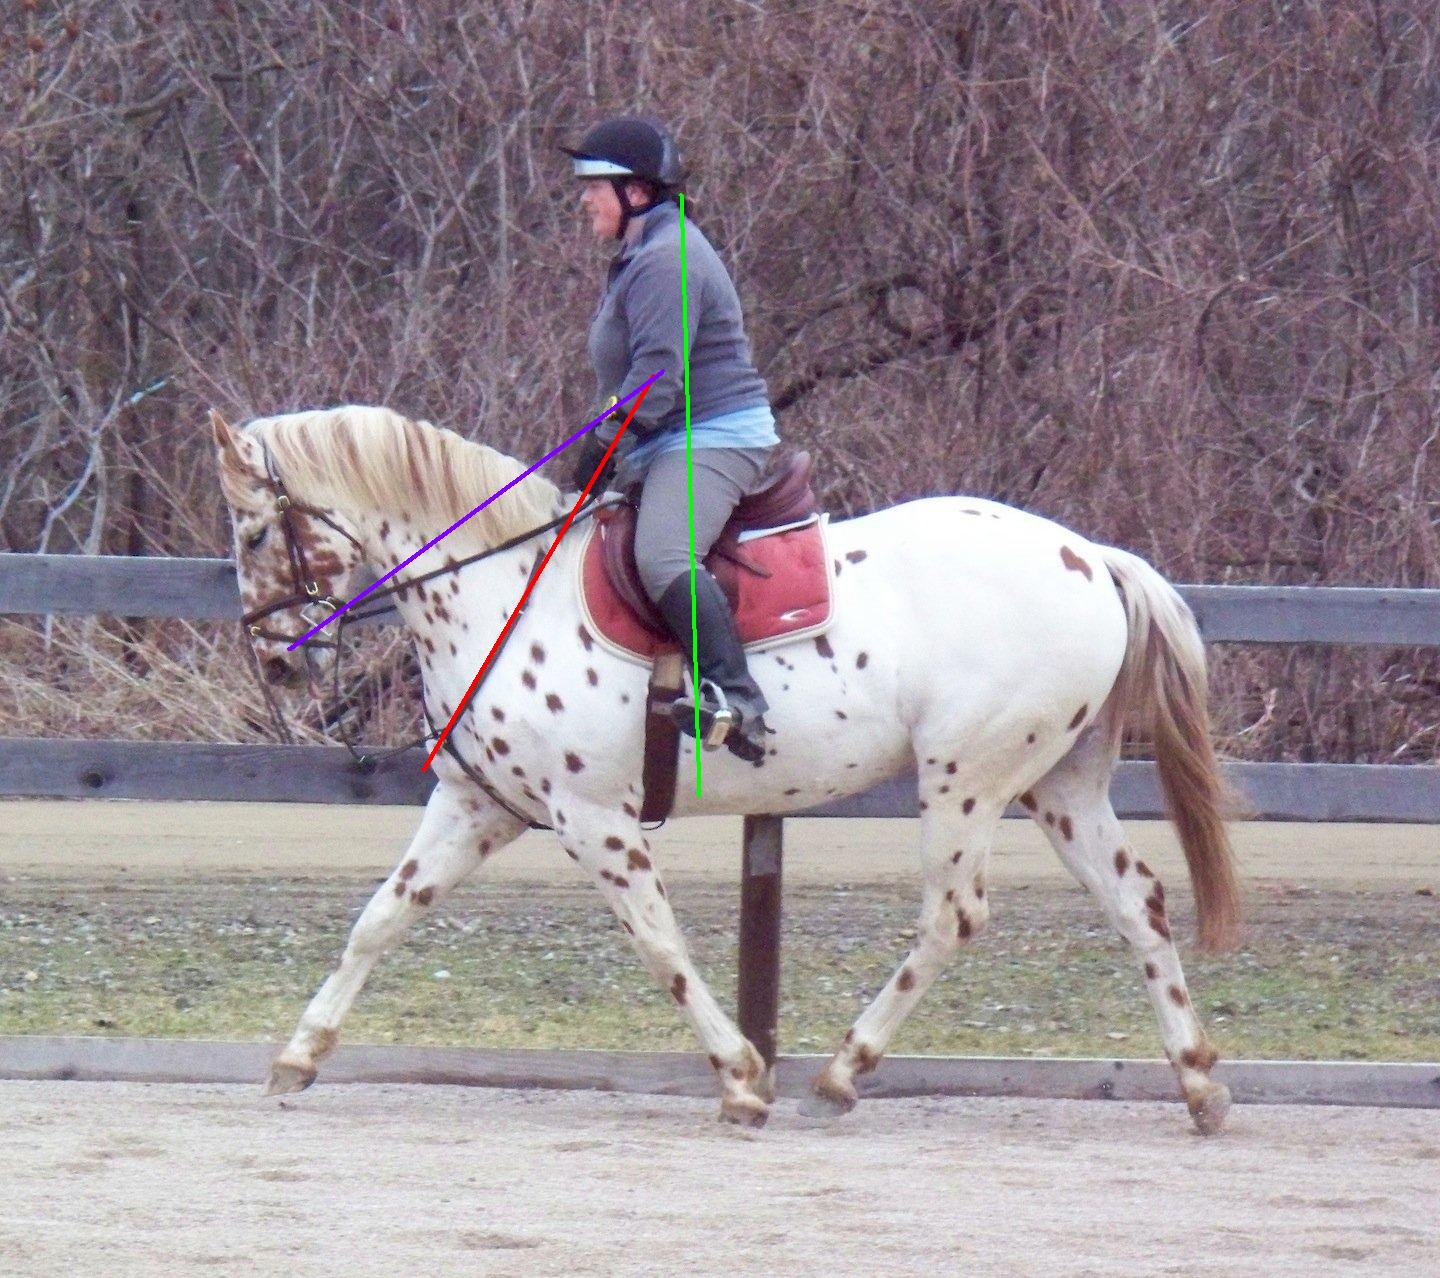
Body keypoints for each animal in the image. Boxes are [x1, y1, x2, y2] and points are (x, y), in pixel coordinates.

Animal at [208, 402, 1244, 1134]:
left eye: (255, 534)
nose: (274, 661)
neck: (505, 591)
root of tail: (1088, 557)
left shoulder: (594, 819)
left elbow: (659, 945)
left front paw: (742, 1080)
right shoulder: (478, 806)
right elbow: (378, 921)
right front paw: (298, 1057)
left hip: (967, 781)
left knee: (952, 918)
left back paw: (841, 1073)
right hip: (1057, 786)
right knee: (1137, 903)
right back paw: (1198, 1082)